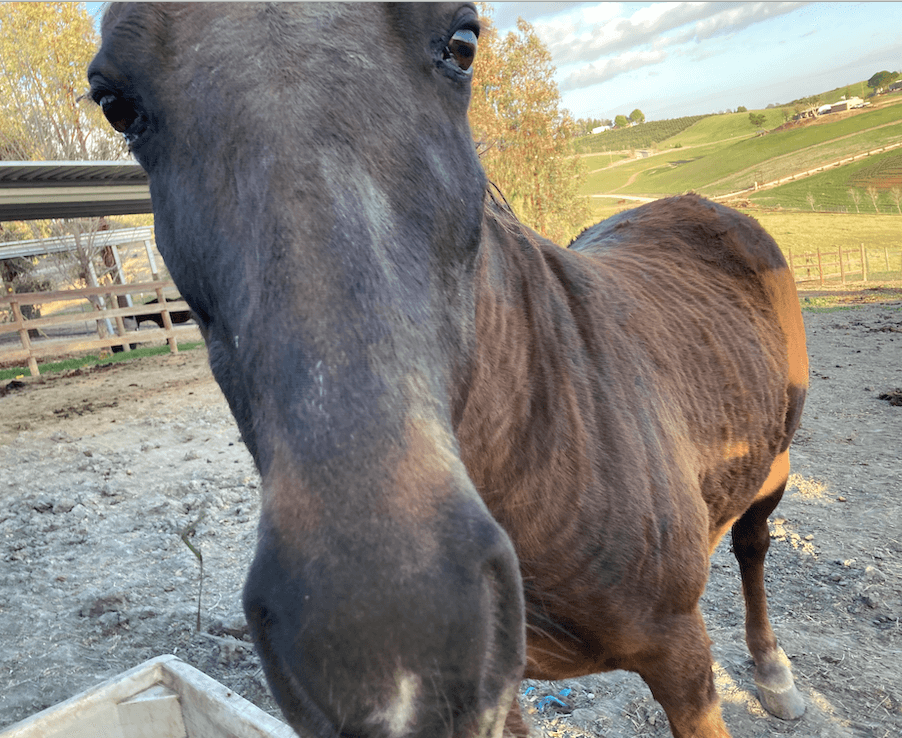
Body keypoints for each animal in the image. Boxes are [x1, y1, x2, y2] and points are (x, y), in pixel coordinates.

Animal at [88, 5, 809, 737]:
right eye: (117, 106)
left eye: (462, 42)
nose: (392, 640)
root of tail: (700, 204)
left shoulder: (682, 658)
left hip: (774, 462)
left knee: (753, 542)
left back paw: (774, 675)